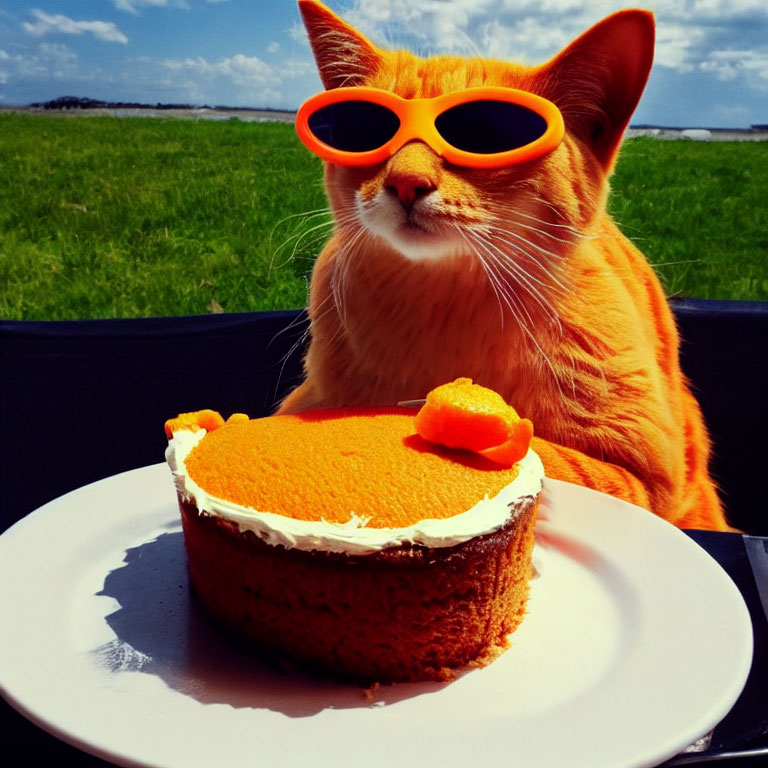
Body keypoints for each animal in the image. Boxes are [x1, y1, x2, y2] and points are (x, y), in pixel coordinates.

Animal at [280, 0, 732, 532]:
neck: (441, 307)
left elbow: (546, 457)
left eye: (489, 134)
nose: (406, 182)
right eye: (363, 129)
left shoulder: (646, 483)